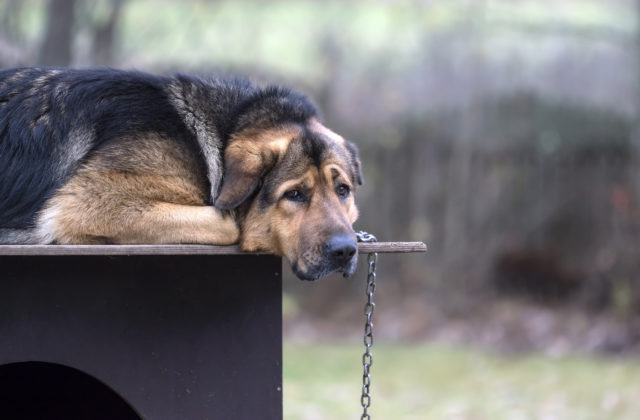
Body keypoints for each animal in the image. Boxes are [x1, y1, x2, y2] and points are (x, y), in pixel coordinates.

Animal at [0, 68, 362, 278]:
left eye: (342, 190)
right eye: (294, 194)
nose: (345, 251)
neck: (223, 130)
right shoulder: (87, 206)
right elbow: (229, 224)